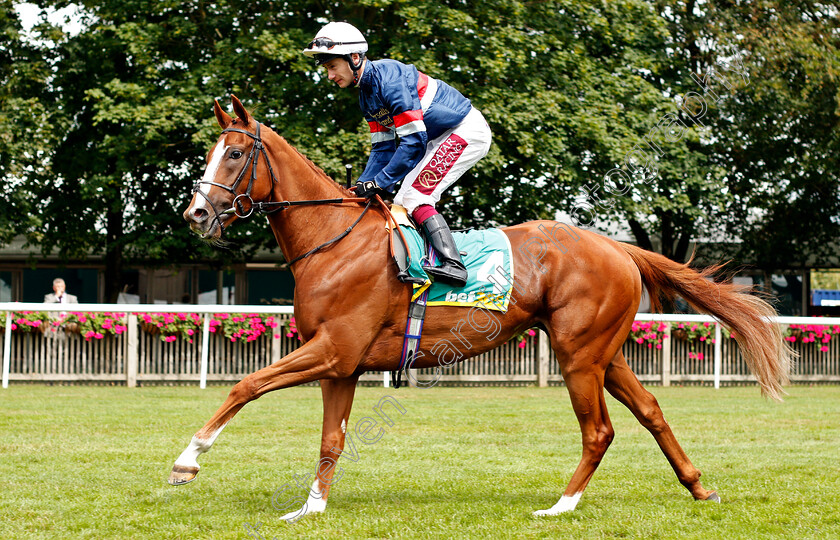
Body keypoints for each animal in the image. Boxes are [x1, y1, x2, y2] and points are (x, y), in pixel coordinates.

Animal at [172, 96, 796, 520]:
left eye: (233, 154)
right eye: (209, 152)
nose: (196, 215)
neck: (332, 240)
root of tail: (616, 246)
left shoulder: (334, 350)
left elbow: (246, 385)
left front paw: (189, 458)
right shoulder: (341, 365)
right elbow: (331, 439)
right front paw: (311, 508)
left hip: (578, 356)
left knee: (599, 430)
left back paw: (562, 506)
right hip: (604, 354)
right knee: (651, 411)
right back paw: (698, 486)